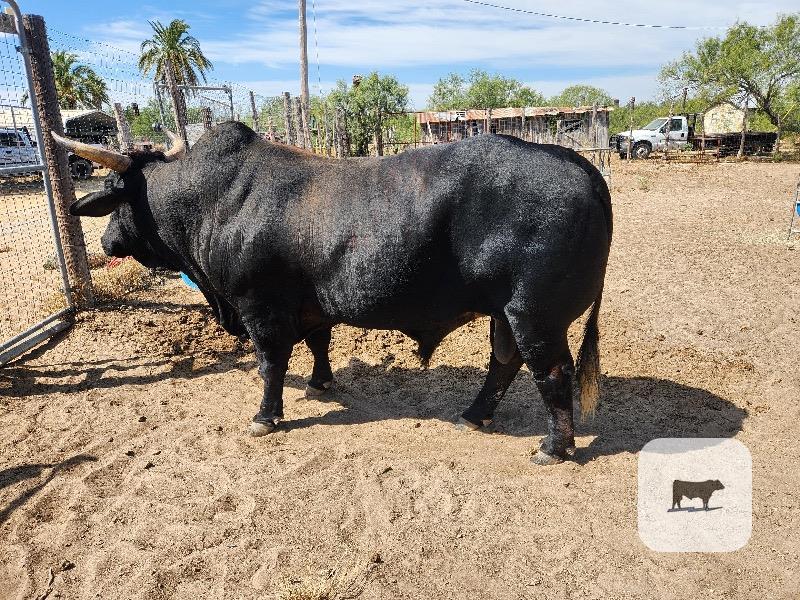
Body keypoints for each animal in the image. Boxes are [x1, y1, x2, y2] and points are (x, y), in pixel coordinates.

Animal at [53, 121, 612, 466]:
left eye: (116, 195)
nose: (106, 240)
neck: (215, 201)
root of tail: (577, 163)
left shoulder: (261, 308)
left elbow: (271, 364)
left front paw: (265, 416)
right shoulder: (312, 306)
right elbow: (320, 342)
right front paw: (321, 382)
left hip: (534, 312)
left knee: (550, 372)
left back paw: (553, 445)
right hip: (508, 312)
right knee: (505, 362)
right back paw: (476, 415)